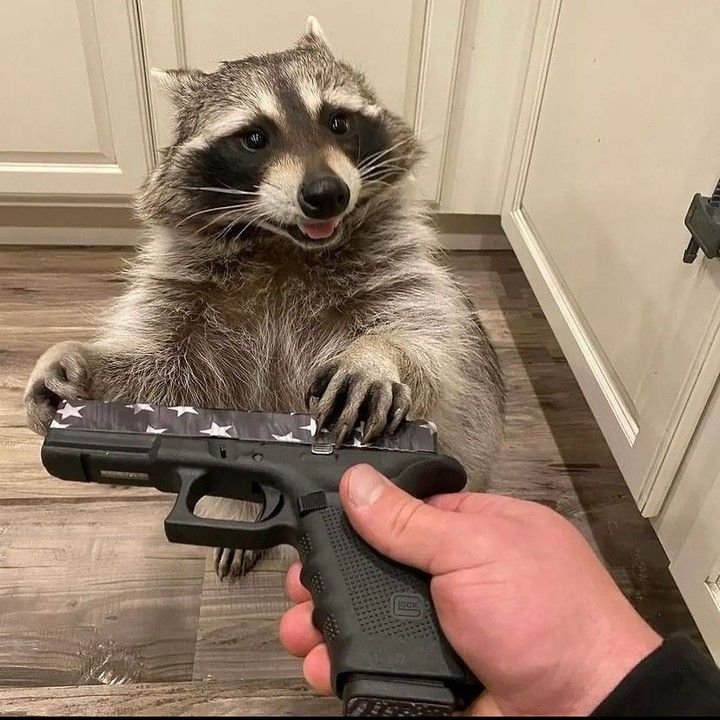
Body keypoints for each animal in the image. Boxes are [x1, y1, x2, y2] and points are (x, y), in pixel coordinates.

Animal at [24, 18, 505, 578]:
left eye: (338, 122)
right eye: (254, 138)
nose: (327, 194)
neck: (283, 246)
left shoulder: (398, 265)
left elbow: (434, 339)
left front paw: (379, 353)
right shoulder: (182, 289)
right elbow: (167, 370)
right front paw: (81, 366)